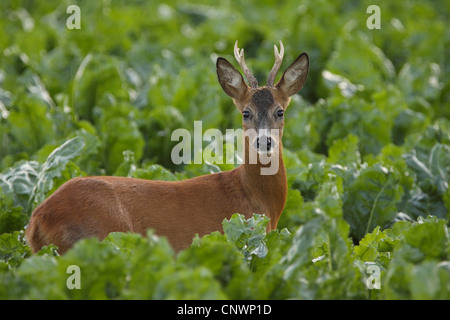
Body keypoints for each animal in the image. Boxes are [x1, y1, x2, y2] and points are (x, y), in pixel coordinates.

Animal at [26, 41, 310, 254]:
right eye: (246, 113)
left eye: (280, 111)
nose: (265, 141)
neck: (255, 198)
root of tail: (37, 219)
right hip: (97, 235)